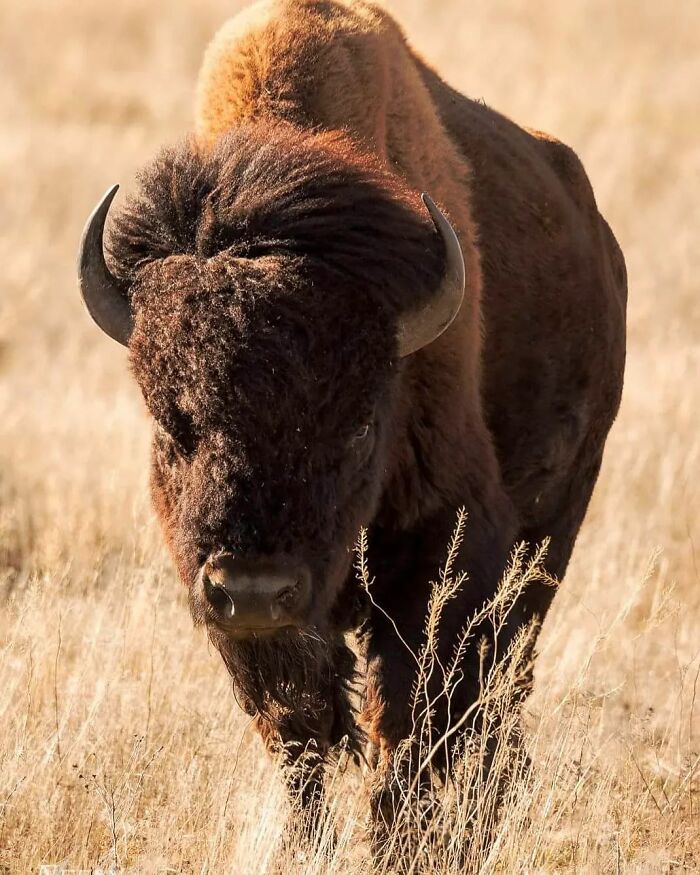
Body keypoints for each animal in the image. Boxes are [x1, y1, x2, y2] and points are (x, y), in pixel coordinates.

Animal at [77, 0, 626, 856]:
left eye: (362, 424)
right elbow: (298, 726)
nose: (256, 588)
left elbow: (410, 712)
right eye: (173, 423)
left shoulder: (447, 544)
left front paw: (399, 842)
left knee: (503, 680)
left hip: (554, 530)